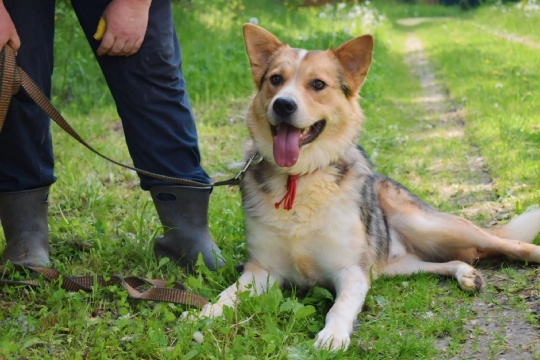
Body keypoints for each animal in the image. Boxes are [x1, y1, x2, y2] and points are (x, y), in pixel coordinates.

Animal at [198, 23, 540, 350]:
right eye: (275, 79)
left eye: (317, 84)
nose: (283, 105)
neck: (300, 177)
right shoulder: (261, 271)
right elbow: (227, 296)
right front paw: (201, 317)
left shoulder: (352, 271)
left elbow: (339, 307)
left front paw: (332, 335)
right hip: (395, 265)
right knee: (449, 260)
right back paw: (464, 273)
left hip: (429, 225)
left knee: (505, 243)